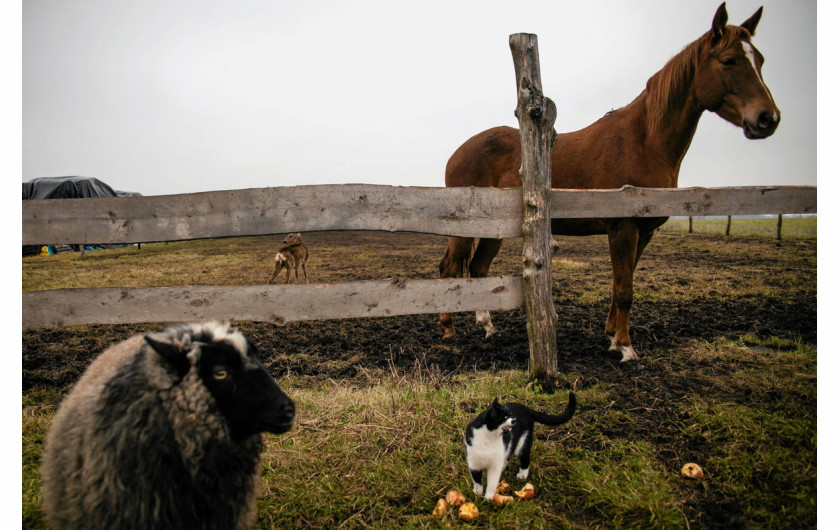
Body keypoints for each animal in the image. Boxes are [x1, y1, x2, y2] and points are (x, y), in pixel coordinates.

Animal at [440, 3, 780, 358]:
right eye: (728, 60)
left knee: (478, 268)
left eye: (760, 60)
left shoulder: (644, 232)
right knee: (450, 267)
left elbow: (621, 285)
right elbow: (625, 289)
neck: (643, 140)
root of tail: (458, 152)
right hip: (464, 229)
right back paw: (449, 329)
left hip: (494, 230)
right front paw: (626, 348)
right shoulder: (623, 228)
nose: (767, 118)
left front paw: (612, 335)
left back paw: (488, 326)